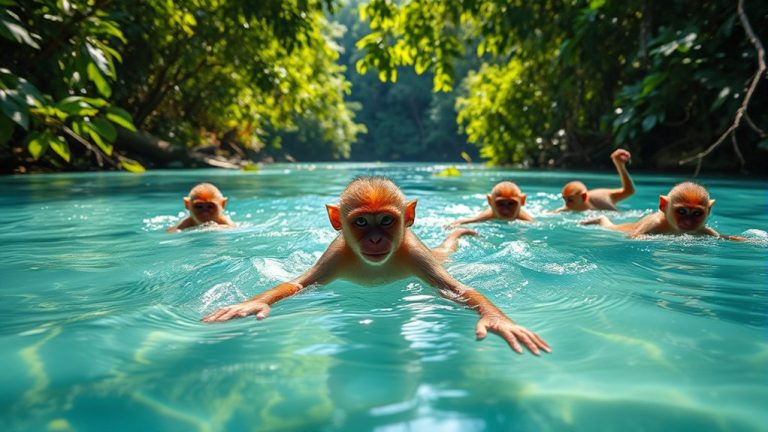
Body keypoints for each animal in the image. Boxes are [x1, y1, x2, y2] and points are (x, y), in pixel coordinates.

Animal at [203, 176, 550, 355]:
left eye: (385, 220)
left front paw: (498, 322)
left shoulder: (416, 254)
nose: (373, 239)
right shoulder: (335, 255)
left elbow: (458, 291)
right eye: (360, 222)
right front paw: (252, 304)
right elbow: (300, 285)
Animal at [580, 181, 745, 240]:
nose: (688, 222)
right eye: (682, 211)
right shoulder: (652, 225)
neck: (674, 228)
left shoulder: (705, 231)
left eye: (697, 213)